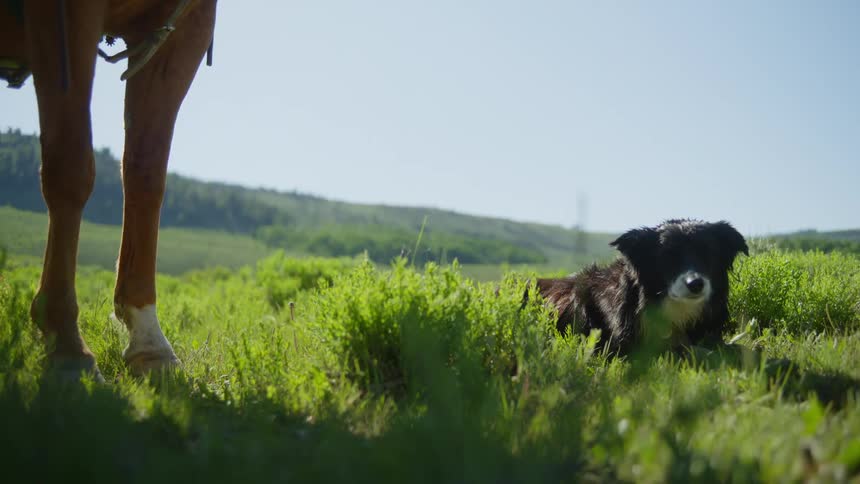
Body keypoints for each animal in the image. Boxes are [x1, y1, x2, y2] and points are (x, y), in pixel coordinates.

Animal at [0, 0, 217, 380]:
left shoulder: (185, 27)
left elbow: (145, 172)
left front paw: (149, 339)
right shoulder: (65, 17)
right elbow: (70, 166)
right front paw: (66, 343)